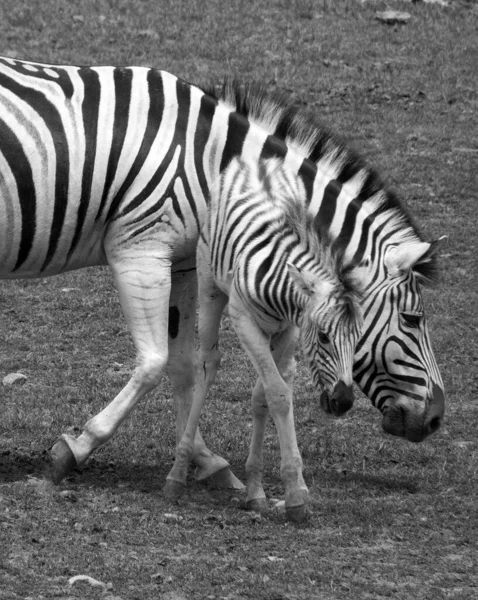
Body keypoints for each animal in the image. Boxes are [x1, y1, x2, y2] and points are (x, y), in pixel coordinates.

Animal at [0, 57, 446, 488]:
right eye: (412, 319)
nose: (436, 418)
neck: (217, 170)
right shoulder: (140, 253)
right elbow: (154, 362)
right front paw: (75, 448)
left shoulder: (181, 264)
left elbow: (182, 367)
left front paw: (206, 460)